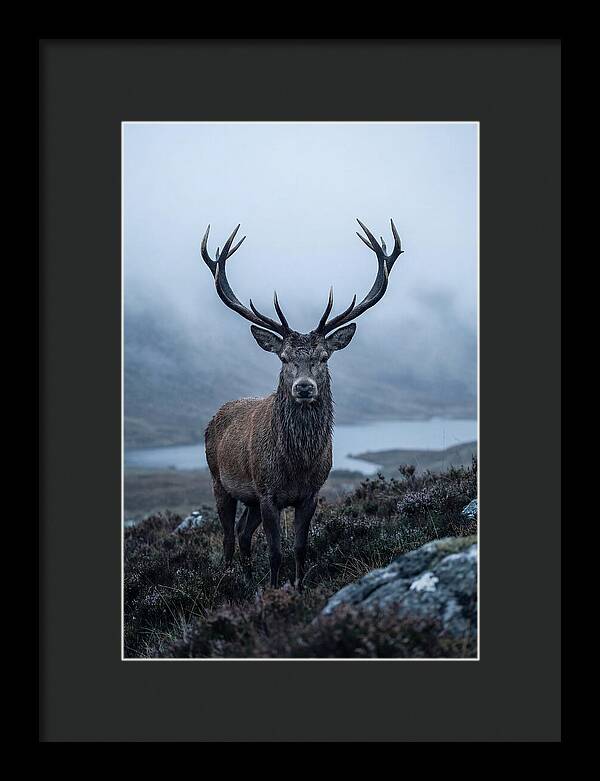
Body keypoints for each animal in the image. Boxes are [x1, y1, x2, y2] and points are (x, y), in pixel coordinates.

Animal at [202, 219, 403, 590]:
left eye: (323, 357)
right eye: (284, 358)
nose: (304, 387)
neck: (297, 465)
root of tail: (215, 416)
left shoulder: (310, 494)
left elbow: (299, 547)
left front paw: (296, 587)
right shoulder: (268, 493)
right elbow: (275, 552)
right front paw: (274, 589)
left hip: (249, 498)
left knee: (243, 534)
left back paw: (248, 582)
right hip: (219, 481)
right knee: (227, 537)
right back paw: (228, 581)